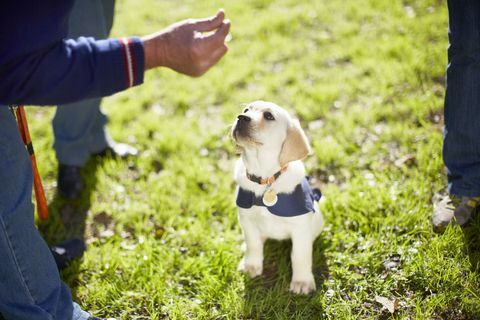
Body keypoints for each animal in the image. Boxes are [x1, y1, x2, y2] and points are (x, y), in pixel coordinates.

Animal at [232, 100, 324, 296]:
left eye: (268, 116)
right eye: (246, 110)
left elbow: (300, 255)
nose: (241, 117)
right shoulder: (246, 219)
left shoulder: (300, 228)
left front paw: (302, 281)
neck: (265, 178)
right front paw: (251, 265)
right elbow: (253, 244)